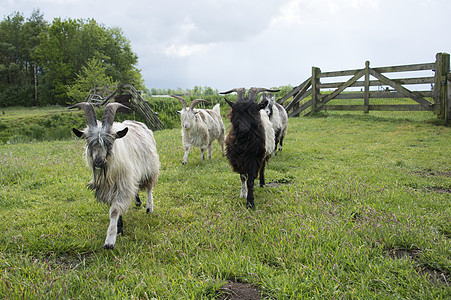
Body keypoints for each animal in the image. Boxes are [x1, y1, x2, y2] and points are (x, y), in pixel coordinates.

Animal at [70, 102, 161, 250]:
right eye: (89, 142)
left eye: (109, 142)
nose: (98, 161)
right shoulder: (110, 188)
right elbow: (115, 209)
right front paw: (119, 228)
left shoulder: (122, 185)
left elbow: (114, 210)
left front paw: (110, 241)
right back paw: (137, 202)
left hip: (150, 168)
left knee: (148, 189)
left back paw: (149, 208)